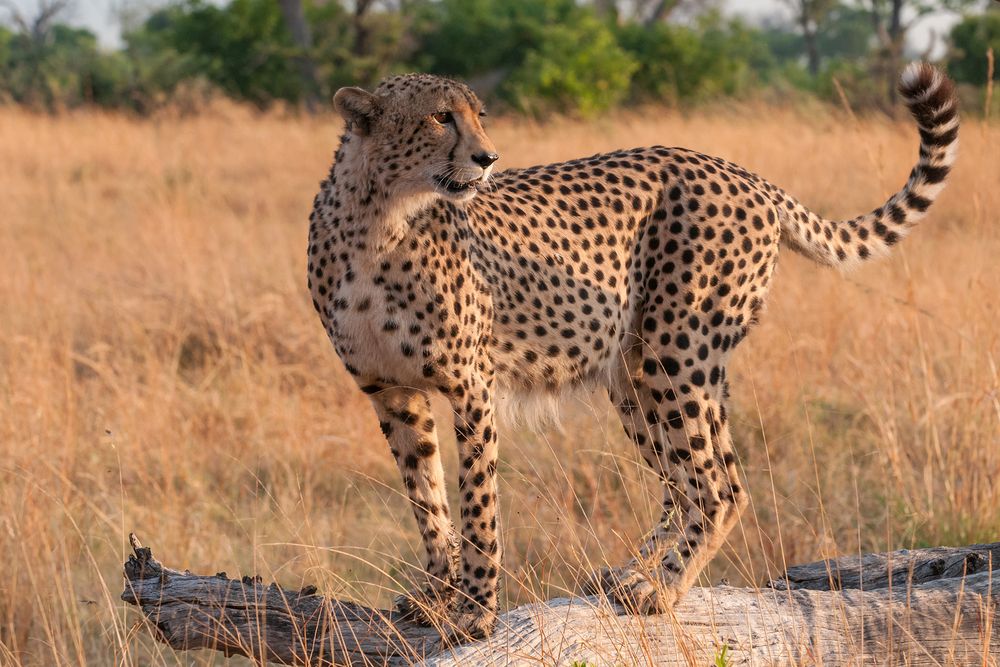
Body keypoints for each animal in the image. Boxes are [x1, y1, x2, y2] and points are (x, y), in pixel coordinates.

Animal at [306, 64, 960, 640]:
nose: (488, 159)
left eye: (478, 116)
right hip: (636, 373)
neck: (381, 219)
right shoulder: (392, 393)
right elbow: (428, 501)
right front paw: (436, 595)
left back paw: (662, 590)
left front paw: (475, 611)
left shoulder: (471, 385)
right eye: (441, 117)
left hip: (680, 352)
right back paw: (633, 573)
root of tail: (739, 171)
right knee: (692, 480)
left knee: (718, 486)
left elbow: (478, 505)